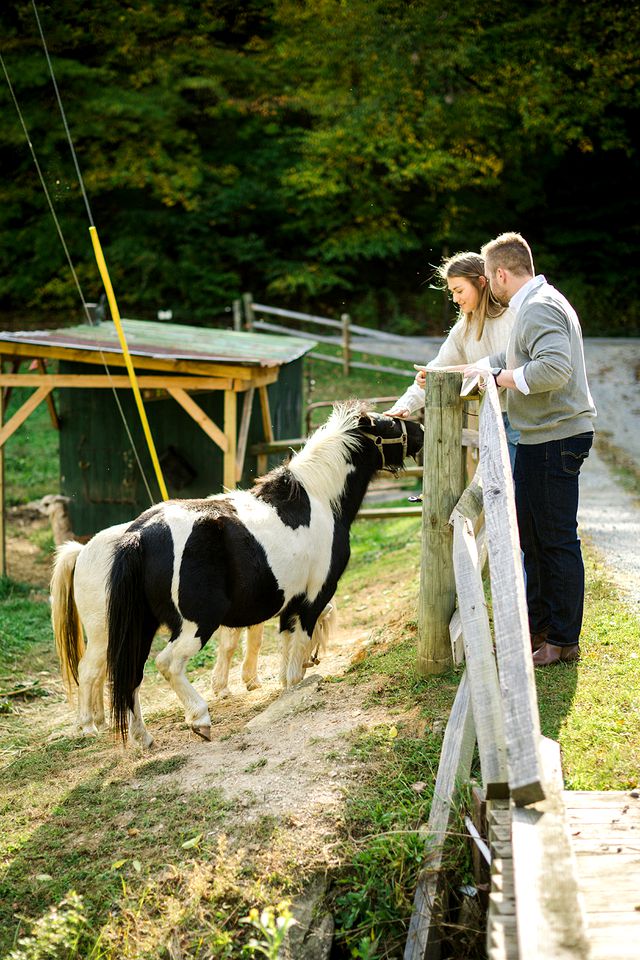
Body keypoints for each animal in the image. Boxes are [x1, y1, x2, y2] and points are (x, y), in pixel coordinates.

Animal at [48, 402, 420, 748]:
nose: (420, 431)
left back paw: (139, 736)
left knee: (127, 676)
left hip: (135, 627)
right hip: (193, 624)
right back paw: (192, 719)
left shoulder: (288, 605)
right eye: (389, 424)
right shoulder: (313, 598)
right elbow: (296, 647)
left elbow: (282, 648)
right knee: (162, 664)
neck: (316, 501)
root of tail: (137, 534)